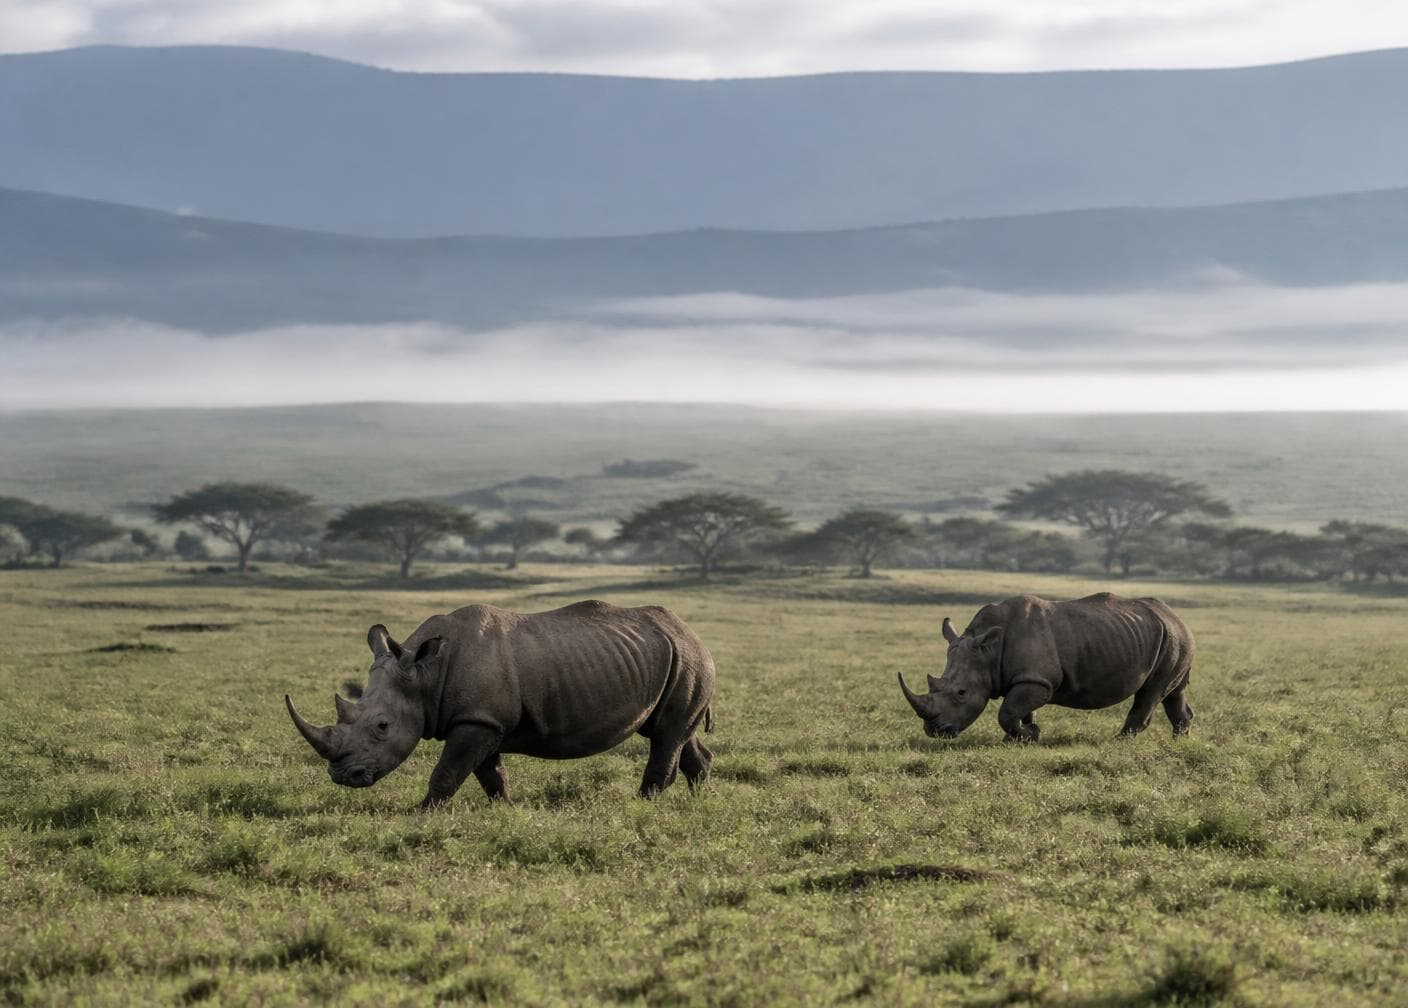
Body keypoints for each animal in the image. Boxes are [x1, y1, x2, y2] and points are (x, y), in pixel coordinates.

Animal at [286, 600, 715, 809]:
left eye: (382, 727)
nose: (344, 777)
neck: (425, 673)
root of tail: (689, 630)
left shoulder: (478, 721)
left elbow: (448, 771)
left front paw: (421, 812)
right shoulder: (485, 719)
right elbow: (489, 774)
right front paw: (504, 809)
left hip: (689, 657)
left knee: (666, 736)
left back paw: (642, 805)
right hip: (675, 657)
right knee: (674, 733)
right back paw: (698, 800)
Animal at [898, 593, 1194, 742]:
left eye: (961, 693)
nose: (935, 732)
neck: (988, 651)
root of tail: (1176, 616)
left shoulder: (1038, 680)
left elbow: (1007, 713)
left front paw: (1027, 736)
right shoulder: (1028, 678)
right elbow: (1021, 711)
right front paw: (1023, 737)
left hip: (1172, 638)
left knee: (1151, 692)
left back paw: (1119, 741)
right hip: (1168, 637)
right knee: (1173, 692)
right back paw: (1180, 740)